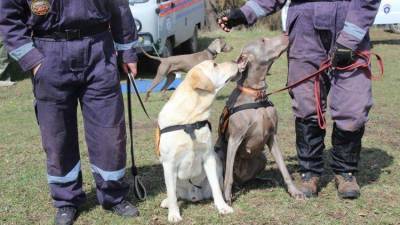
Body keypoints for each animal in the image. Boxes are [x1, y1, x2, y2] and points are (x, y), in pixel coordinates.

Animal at [156, 60, 244, 223]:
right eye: (215, 64)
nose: (235, 61)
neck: (190, 119)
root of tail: (193, 196)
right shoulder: (169, 163)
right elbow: (171, 192)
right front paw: (174, 214)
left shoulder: (208, 157)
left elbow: (215, 187)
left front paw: (222, 207)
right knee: (174, 193)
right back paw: (167, 202)